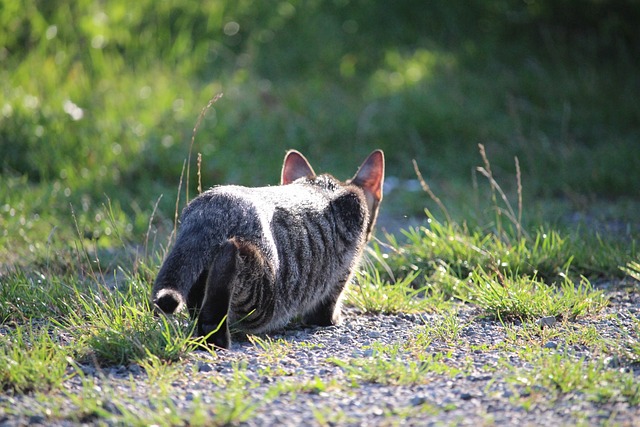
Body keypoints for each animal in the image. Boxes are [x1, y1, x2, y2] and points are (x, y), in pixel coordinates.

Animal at [152, 149, 384, 350]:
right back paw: (216, 337)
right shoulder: (339, 276)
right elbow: (326, 310)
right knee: (231, 259)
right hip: (264, 294)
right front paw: (336, 318)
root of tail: (214, 204)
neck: (326, 186)